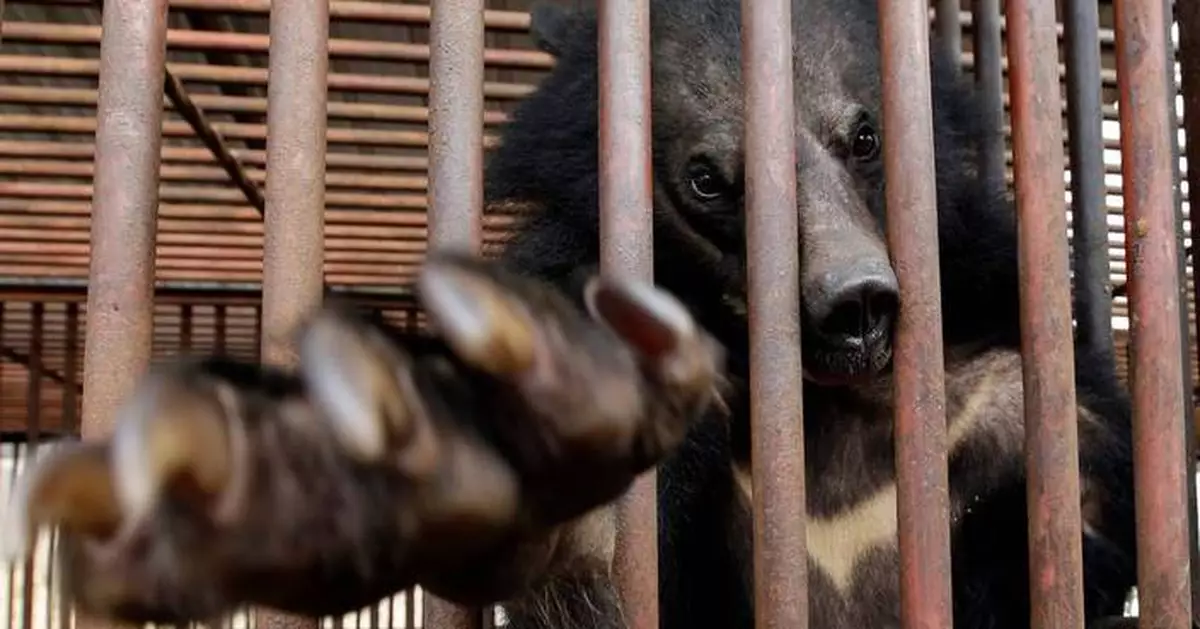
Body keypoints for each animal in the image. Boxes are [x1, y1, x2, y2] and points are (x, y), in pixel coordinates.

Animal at [0, 0, 1139, 628]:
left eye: (865, 136)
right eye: (708, 179)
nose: (855, 304)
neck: (820, 412)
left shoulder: (1009, 386)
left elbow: (1081, 524)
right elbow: (590, 564)